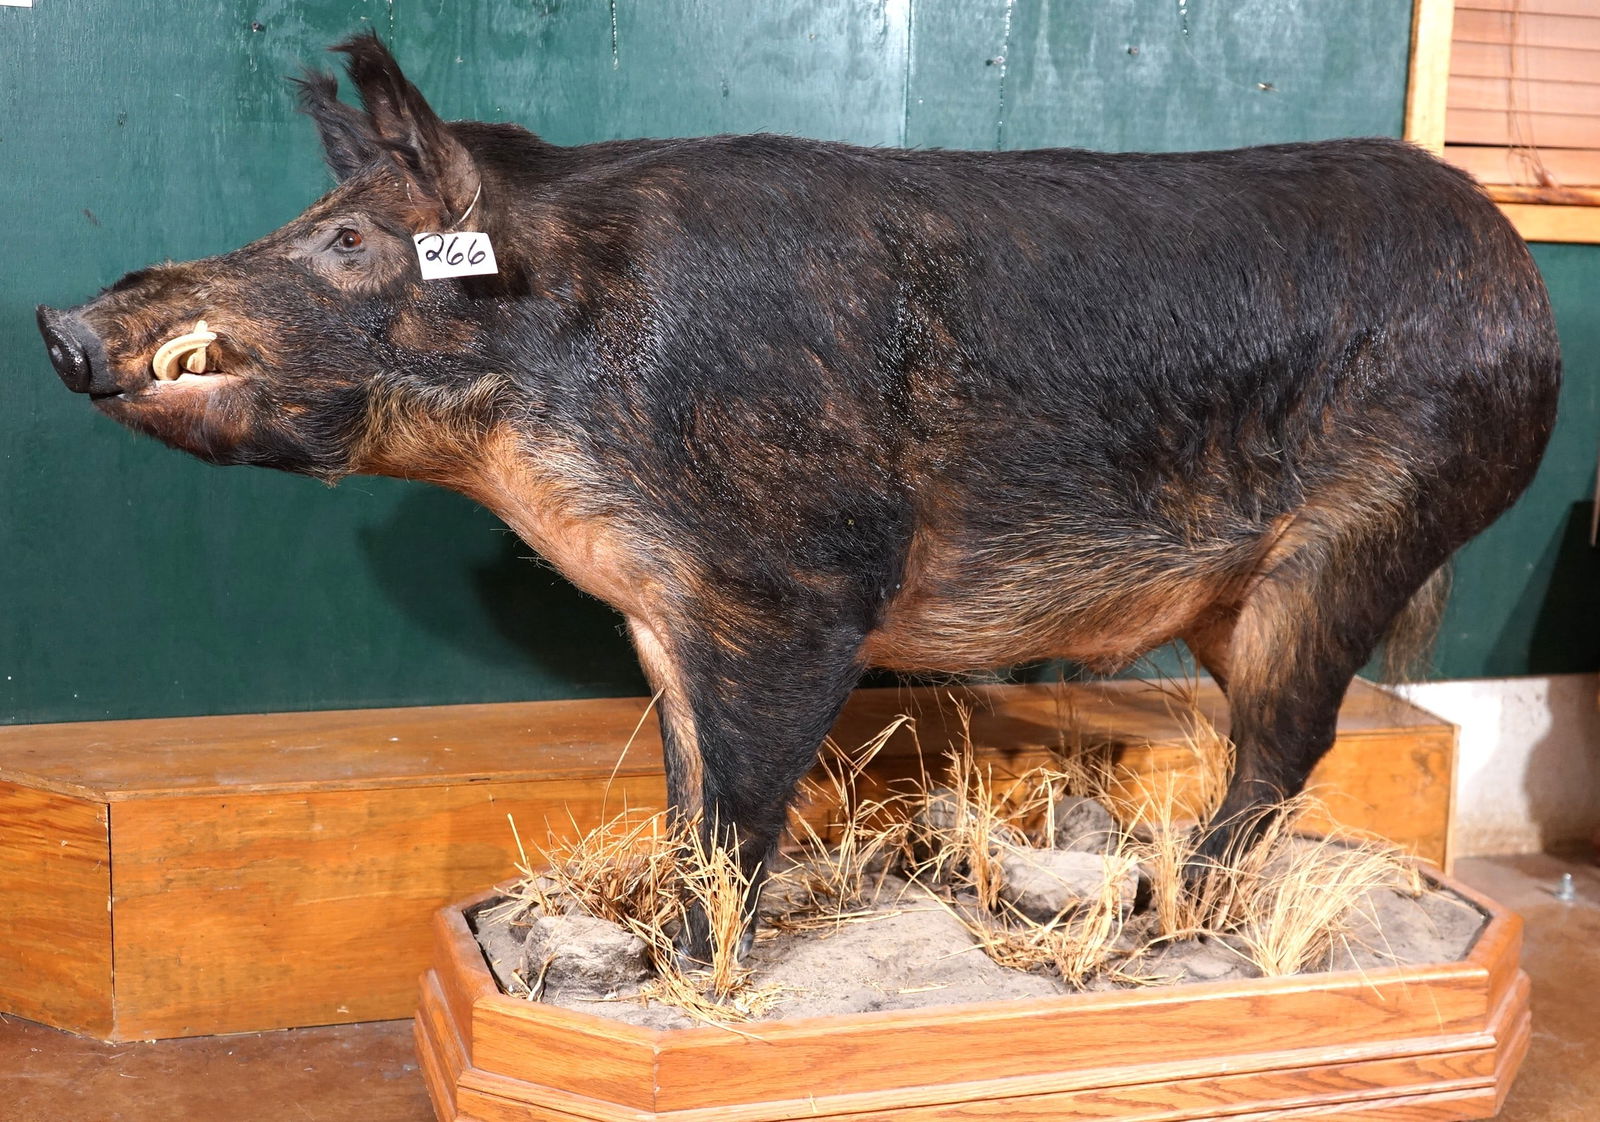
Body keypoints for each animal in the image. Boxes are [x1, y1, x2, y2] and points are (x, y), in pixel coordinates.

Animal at [37, 33, 1559, 959]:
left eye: (351, 240)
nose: (60, 319)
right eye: (310, 220)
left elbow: (748, 800)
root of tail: (1517, 276)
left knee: (1283, 748)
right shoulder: (657, 610)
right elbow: (683, 787)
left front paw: (698, 969)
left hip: (1362, 534)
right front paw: (652, 936)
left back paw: (1173, 921)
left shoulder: (802, 590)